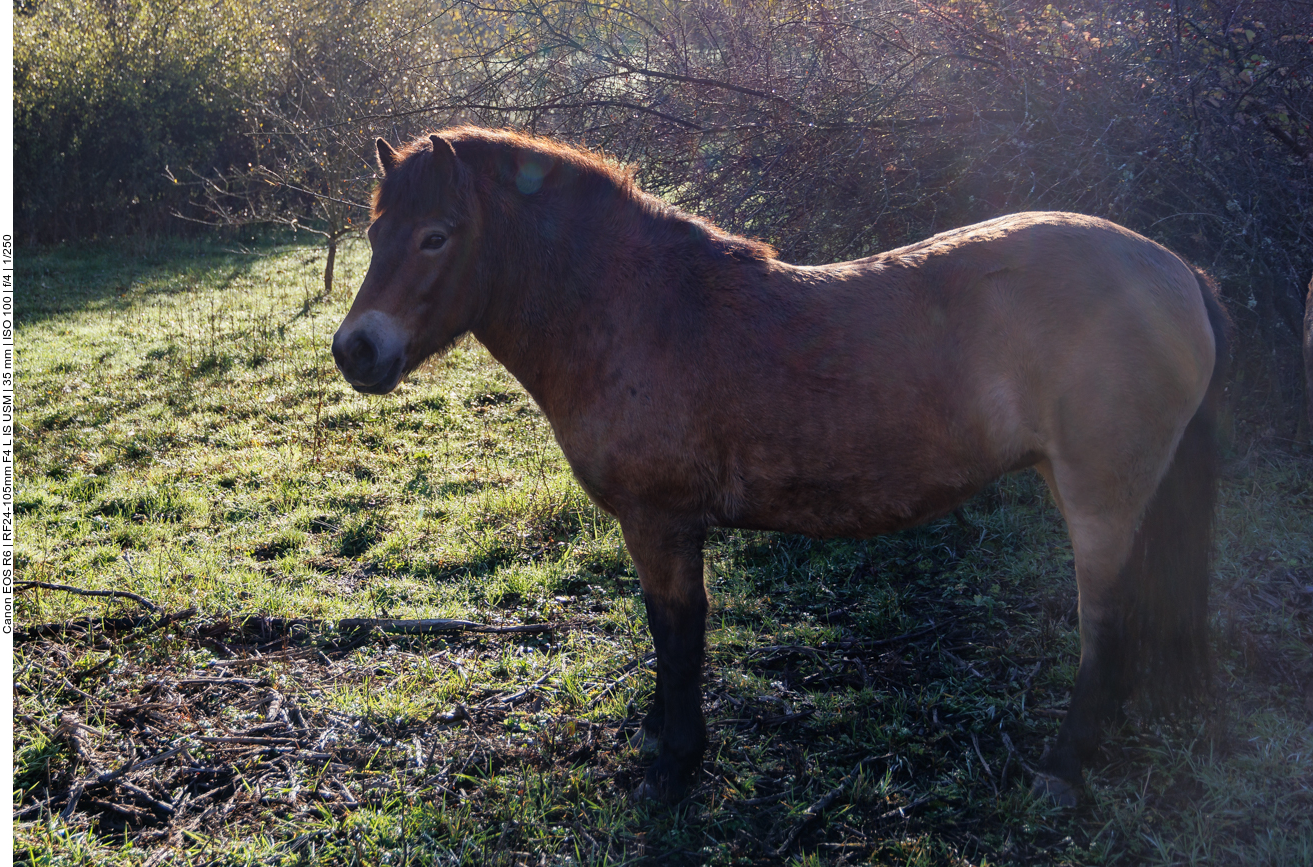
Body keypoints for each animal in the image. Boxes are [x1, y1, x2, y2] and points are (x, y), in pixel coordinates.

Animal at [332, 127, 1230, 807]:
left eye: (436, 235)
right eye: (374, 235)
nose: (356, 351)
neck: (640, 311)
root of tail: (1174, 269)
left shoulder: (661, 522)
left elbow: (679, 633)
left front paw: (676, 760)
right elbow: (664, 630)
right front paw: (659, 734)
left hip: (1099, 500)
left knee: (1106, 629)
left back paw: (1062, 767)